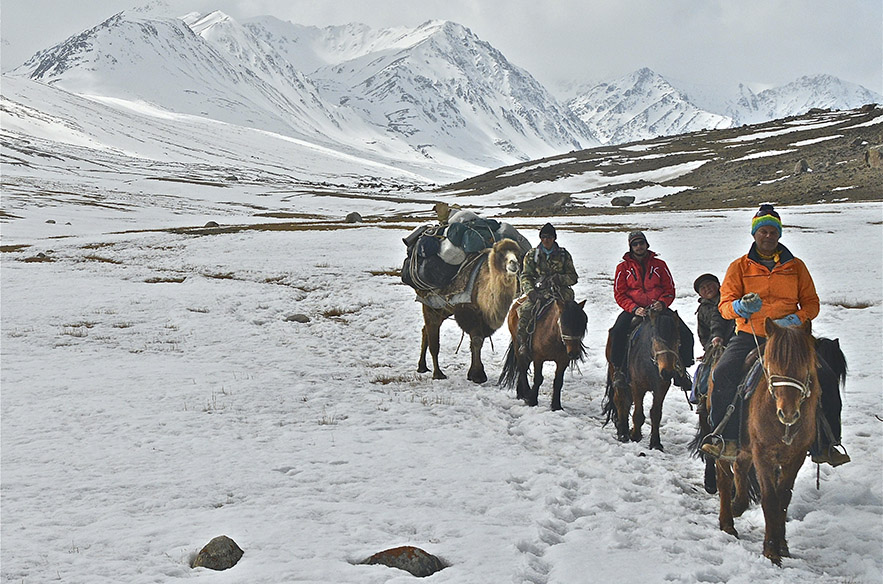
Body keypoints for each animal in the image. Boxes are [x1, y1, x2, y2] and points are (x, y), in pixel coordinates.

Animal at [418, 237, 520, 384]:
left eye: (517, 253)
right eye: (501, 253)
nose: (514, 263)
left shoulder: (483, 318)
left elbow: (478, 342)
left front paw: (475, 373)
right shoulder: (469, 311)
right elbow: (476, 340)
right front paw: (477, 375)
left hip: (444, 308)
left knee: (425, 329)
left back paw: (422, 367)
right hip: (430, 303)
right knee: (433, 337)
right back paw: (438, 374)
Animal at [604, 306, 688, 452]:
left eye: (678, 342)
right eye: (655, 341)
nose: (667, 372)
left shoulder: (661, 387)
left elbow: (656, 414)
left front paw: (655, 443)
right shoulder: (637, 386)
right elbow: (638, 414)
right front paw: (635, 435)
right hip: (615, 372)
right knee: (620, 400)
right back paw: (623, 433)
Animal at [712, 320, 820, 564]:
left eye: (804, 367)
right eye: (772, 366)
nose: (788, 413)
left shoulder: (795, 458)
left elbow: (783, 499)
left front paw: (782, 545)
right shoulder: (763, 455)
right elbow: (770, 499)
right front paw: (771, 551)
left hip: (746, 449)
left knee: (740, 469)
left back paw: (737, 506)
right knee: (724, 477)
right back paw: (727, 522)